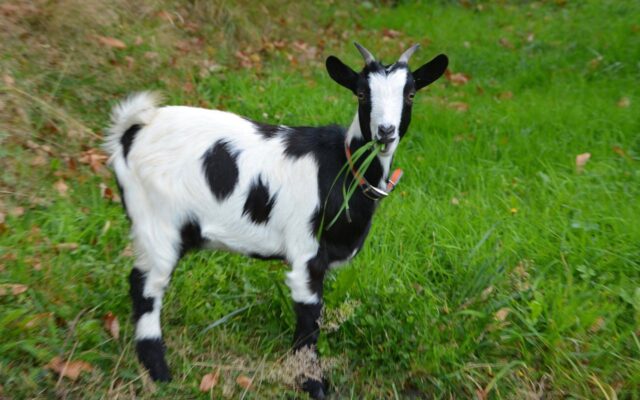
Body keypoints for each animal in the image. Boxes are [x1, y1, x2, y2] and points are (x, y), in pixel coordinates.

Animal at [105, 42, 447, 399]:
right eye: (362, 93)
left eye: (411, 94)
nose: (385, 132)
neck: (342, 168)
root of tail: (132, 130)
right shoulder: (306, 255)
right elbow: (310, 318)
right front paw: (311, 383)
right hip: (157, 221)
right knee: (146, 286)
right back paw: (158, 372)